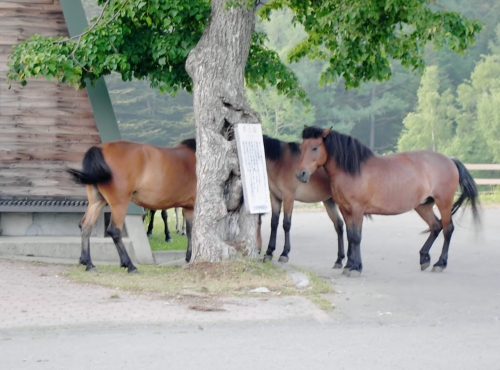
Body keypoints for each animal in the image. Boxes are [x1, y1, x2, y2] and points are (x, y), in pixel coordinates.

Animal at [67, 138, 196, 272]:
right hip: (119, 203)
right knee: (114, 230)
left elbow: (190, 230)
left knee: (86, 226)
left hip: (97, 201)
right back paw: (129, 265)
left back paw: (88, 263)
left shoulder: (189, 207)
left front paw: (189, 256)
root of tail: (99, 149)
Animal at [260, 135, 346, 266]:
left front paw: (284, 253)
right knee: (339, 225)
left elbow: (286, 224)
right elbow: (274, 223)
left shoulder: (288, 197)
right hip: (329, 202)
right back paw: (339, 259)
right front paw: (269, 252)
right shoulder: (275, 197)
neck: (280, 162)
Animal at [296, 125, 480, 276]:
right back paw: (424, 259)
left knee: (448, 229)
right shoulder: (345, 209)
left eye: (315, 147)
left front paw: (355, 267)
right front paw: (349, 265)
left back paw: (440, 263)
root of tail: (450, 160)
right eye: (301, 147)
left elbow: (356, 237)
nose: (301, 174)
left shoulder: (357, 210)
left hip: (444, 203)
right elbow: (350, 236)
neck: (353, 170)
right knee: (436, 226)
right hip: (423, 205)